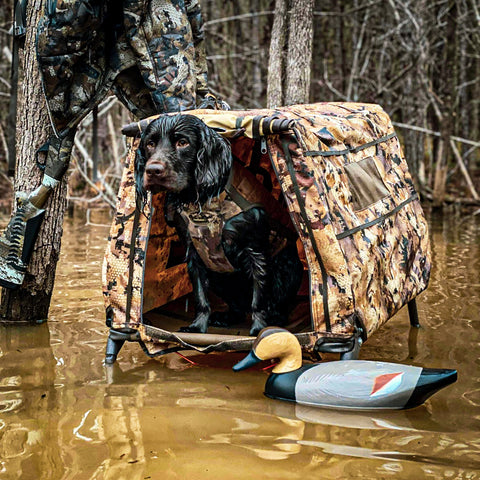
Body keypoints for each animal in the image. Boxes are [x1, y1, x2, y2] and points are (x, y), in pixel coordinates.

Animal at [135, 114, 302, 336]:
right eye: (150, 144)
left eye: (183, 142)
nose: (153, 170)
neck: (200, 200)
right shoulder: (195, 253)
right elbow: (200, 296)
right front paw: (197, 327)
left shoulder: (256, 251)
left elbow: (259, 298)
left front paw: (259, 328)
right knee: (238, 307)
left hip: (288, 268)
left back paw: (275, 318)